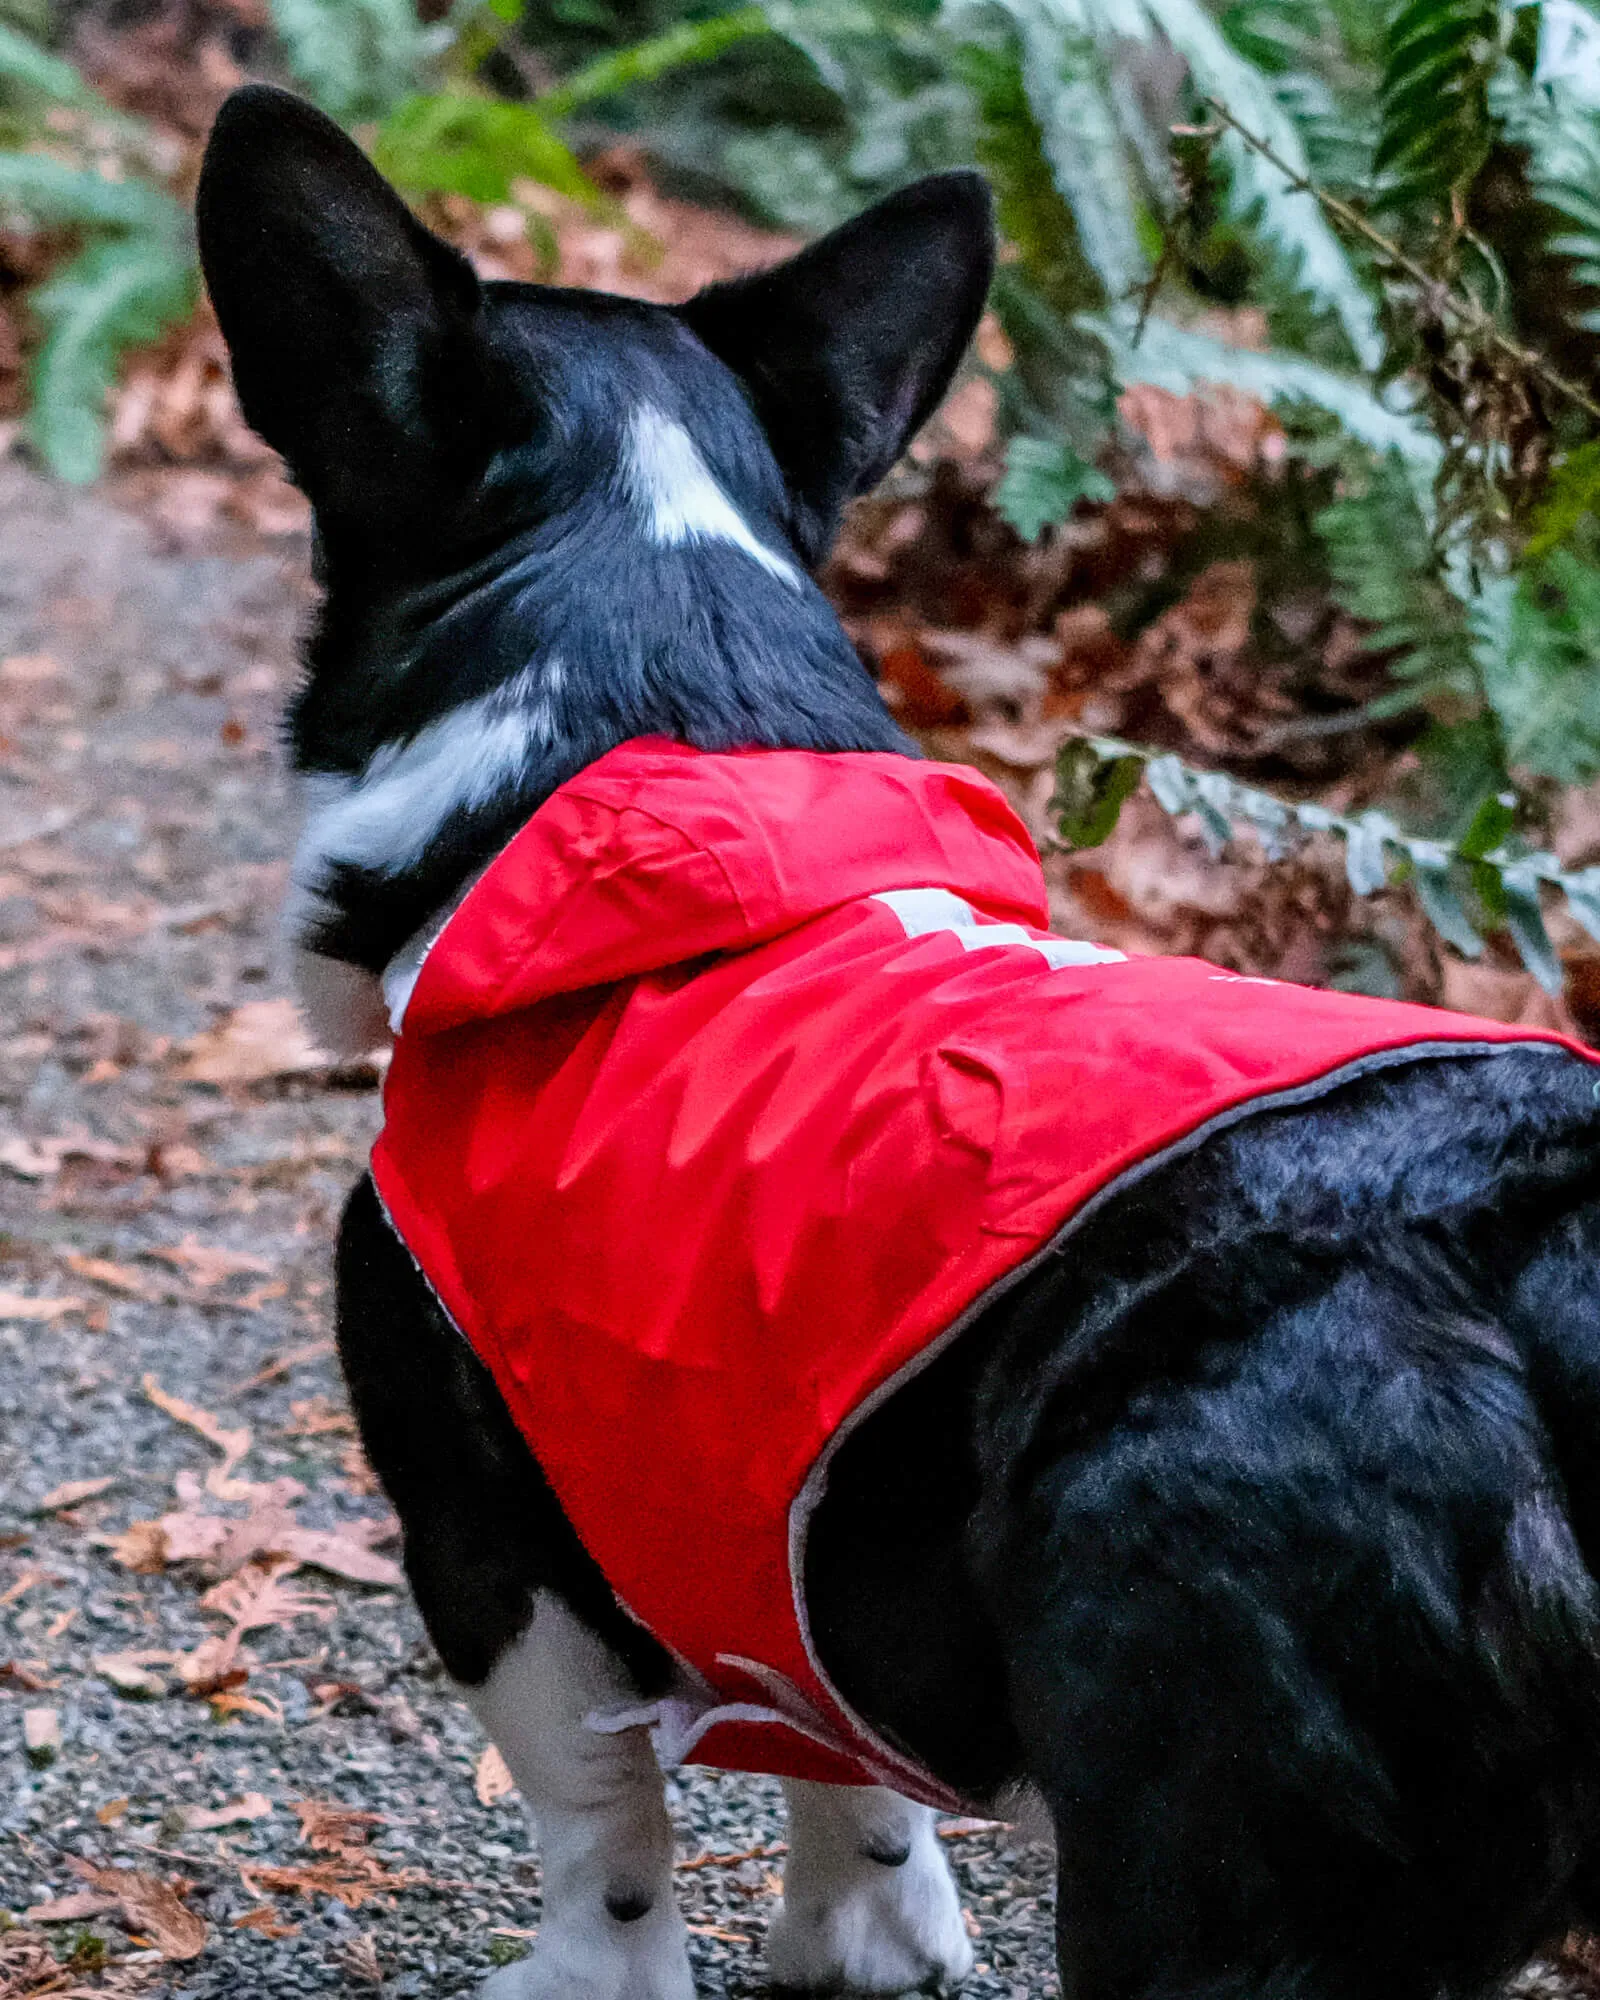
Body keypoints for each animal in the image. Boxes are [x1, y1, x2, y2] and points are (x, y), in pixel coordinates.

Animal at [200, 78, 1600, 2000]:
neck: (655, 685)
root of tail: (1523, 1264)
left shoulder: (492, 1548)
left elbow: (601, 1831)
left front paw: (596, 1970)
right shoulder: (777, 1516)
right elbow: (844, 1768)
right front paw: (863, 1931)